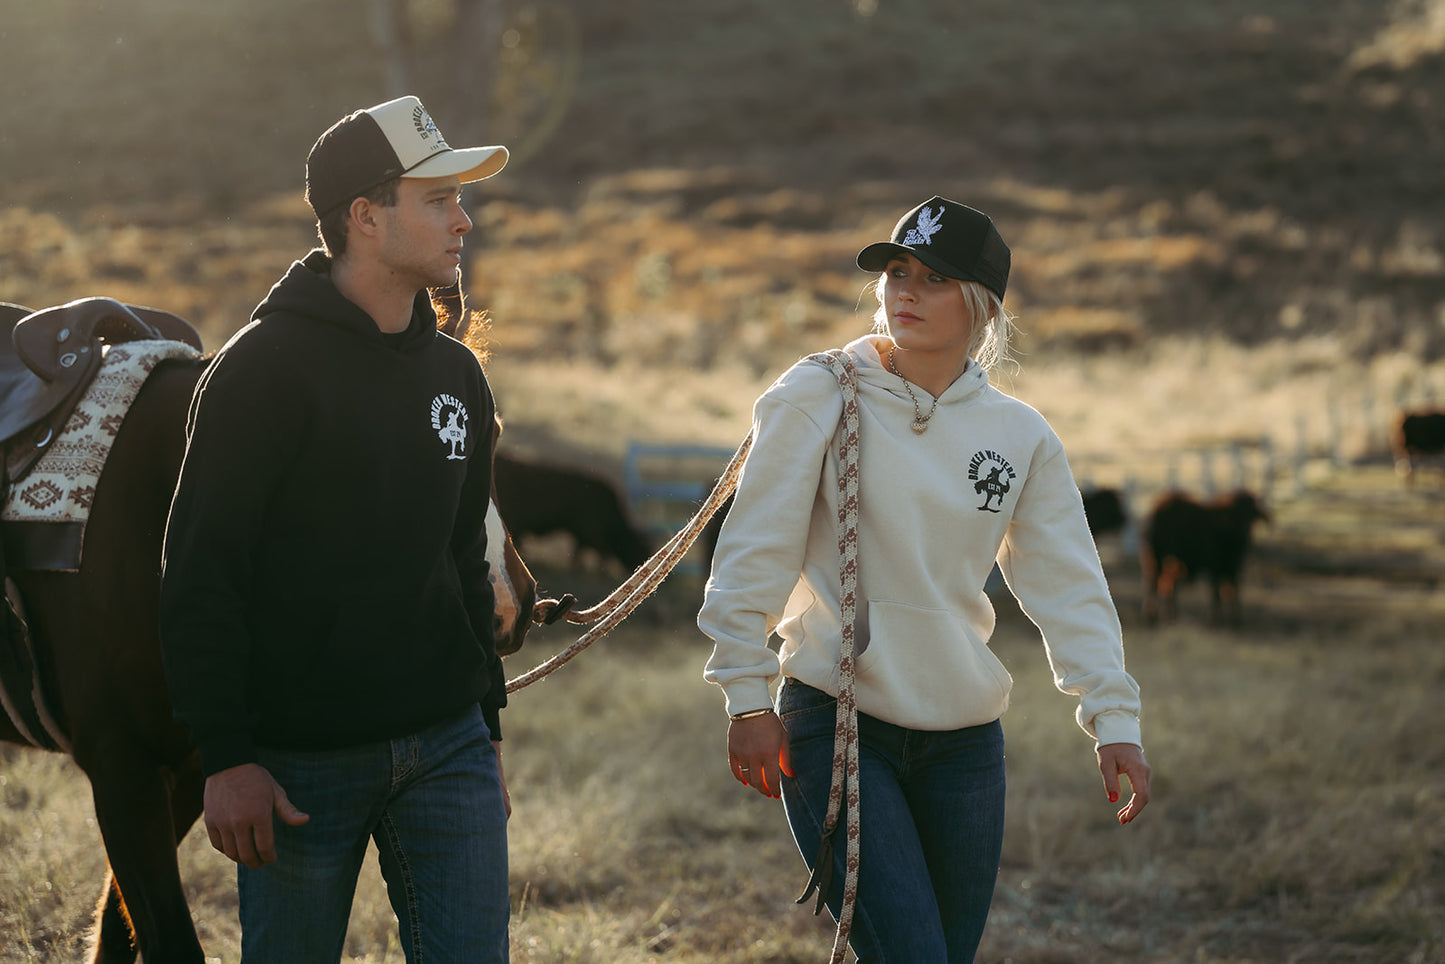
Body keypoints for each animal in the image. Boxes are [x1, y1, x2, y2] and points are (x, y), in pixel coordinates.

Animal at [497, 453, 656, 572]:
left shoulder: (583, 535)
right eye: (639, 548)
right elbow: (602, 553)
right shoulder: (592, 532)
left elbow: (580, 552)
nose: (641, 565)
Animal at [1138, 491, 1265, 627]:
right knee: (1154, 584)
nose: (1245, 530)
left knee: (1164, 584)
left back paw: (1166, 615)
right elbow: (1217, 592)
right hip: (1157, 559)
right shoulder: (1216, 566)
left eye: (1252, 514)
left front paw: (1234, 619)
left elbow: (1231, 591)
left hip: (1162, 561)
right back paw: (1153, 616)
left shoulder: (1232, 567)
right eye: (1238, 514)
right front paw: (1215, 619)